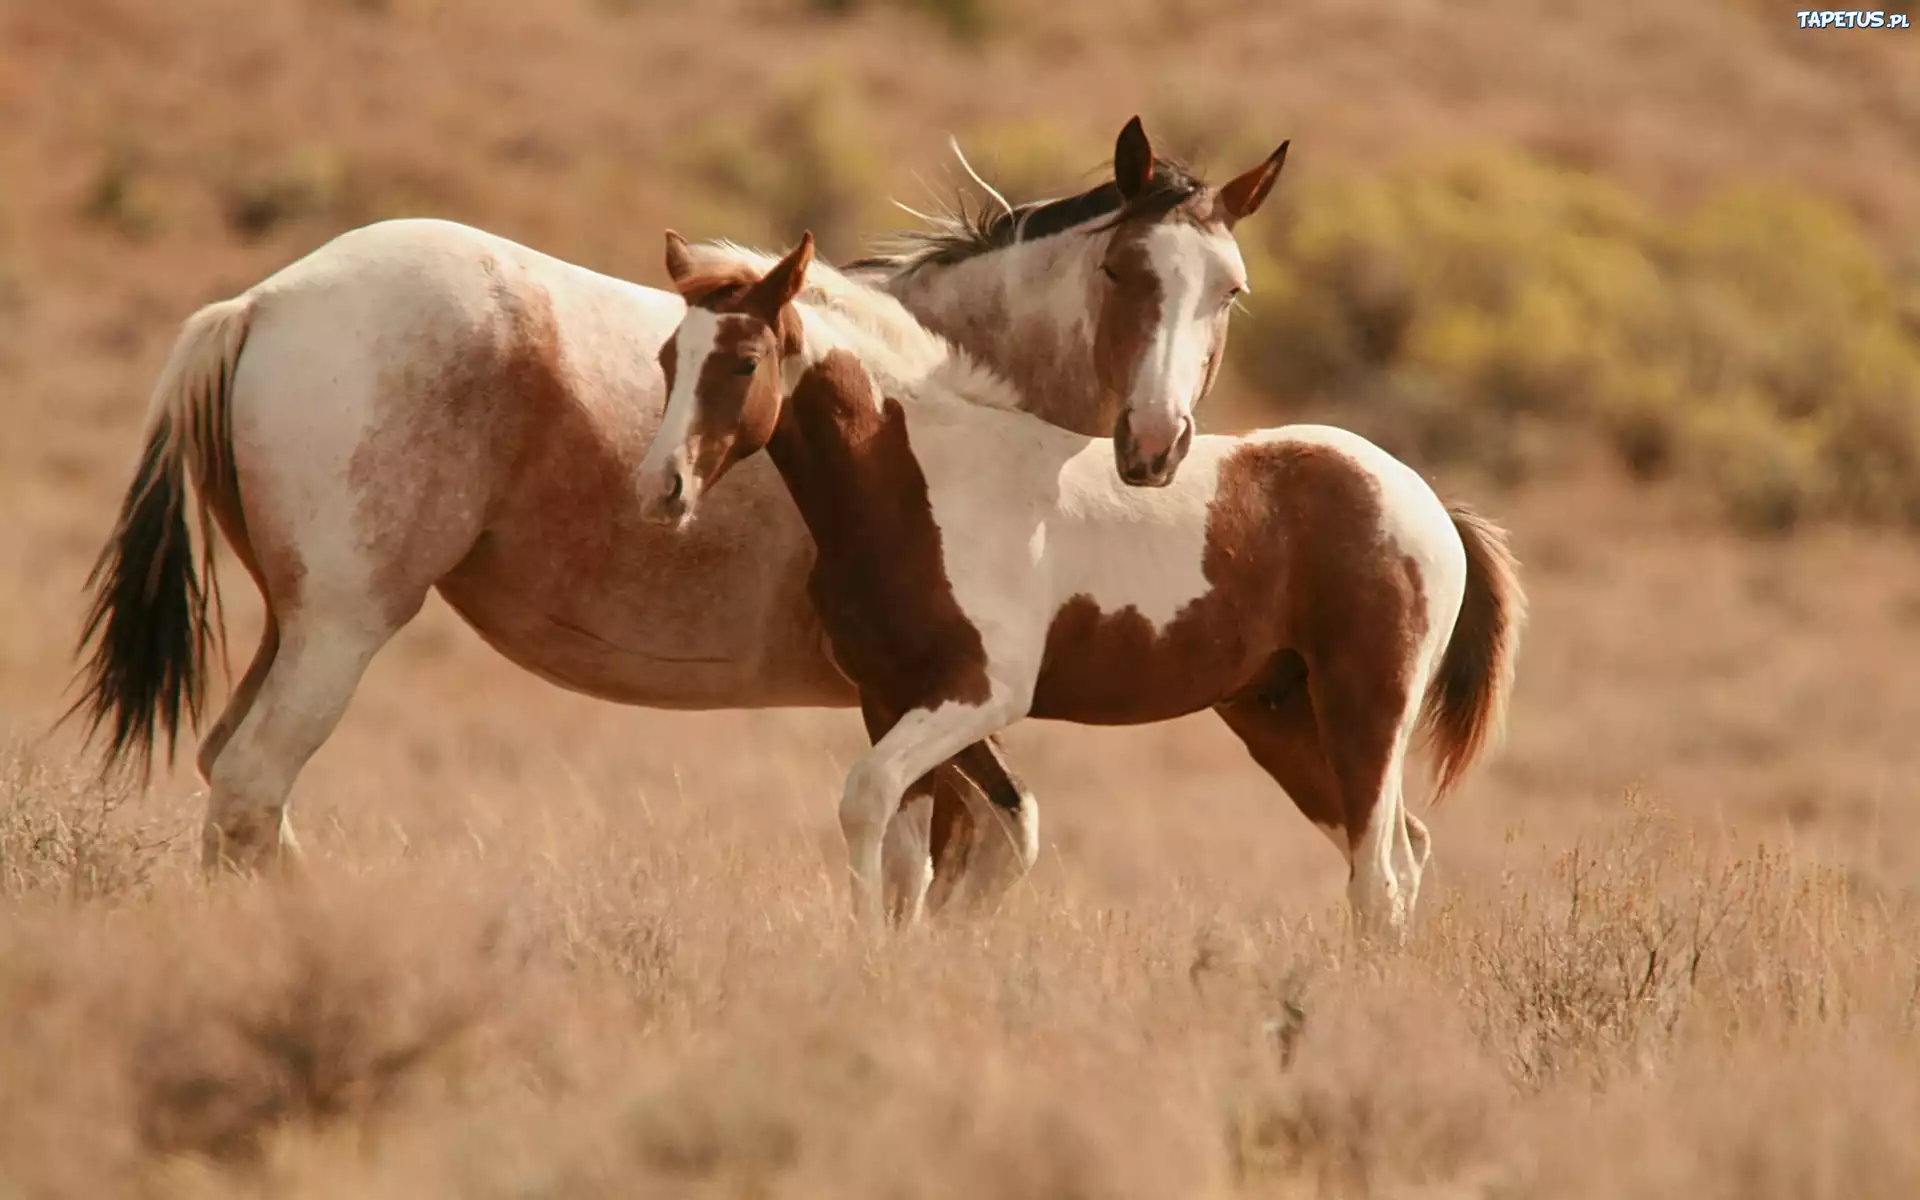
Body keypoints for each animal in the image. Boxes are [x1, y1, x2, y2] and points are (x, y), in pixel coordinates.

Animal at [63, 114, 1290, 917]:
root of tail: (259, 303)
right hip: (340, 630)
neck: (937, 400)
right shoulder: (926, 700)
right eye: (1126, 270)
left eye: (1228, 289)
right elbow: (957, 858)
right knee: (251, 792)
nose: (1156, 446)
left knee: (237, 789)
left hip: (293, 624)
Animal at [645, 234, 1528, 940]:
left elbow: (866, 800)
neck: (921, 482)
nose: (663, 488)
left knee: (1379, 875)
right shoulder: (890, 697)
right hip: (1281, 718)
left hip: (1365, 708)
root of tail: (1425, 500)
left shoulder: (980, 694)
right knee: (1397, 854)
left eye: (745, 362)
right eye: (666, 360)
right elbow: (908, 852)